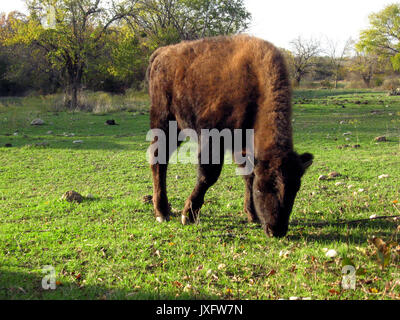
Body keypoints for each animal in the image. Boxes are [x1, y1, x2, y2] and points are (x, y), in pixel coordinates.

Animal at [147, 35, 312, 238]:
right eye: (262, 187)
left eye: (295, 188)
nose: (277, 230)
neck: (255, 83)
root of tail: (162, 52)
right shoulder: (213, 139)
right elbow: (208, 175)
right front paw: (188, 215)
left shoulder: (242, 146)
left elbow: (247, 174)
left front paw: (252, 214)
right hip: (164, 121)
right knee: (158, 160)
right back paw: (162, 212)